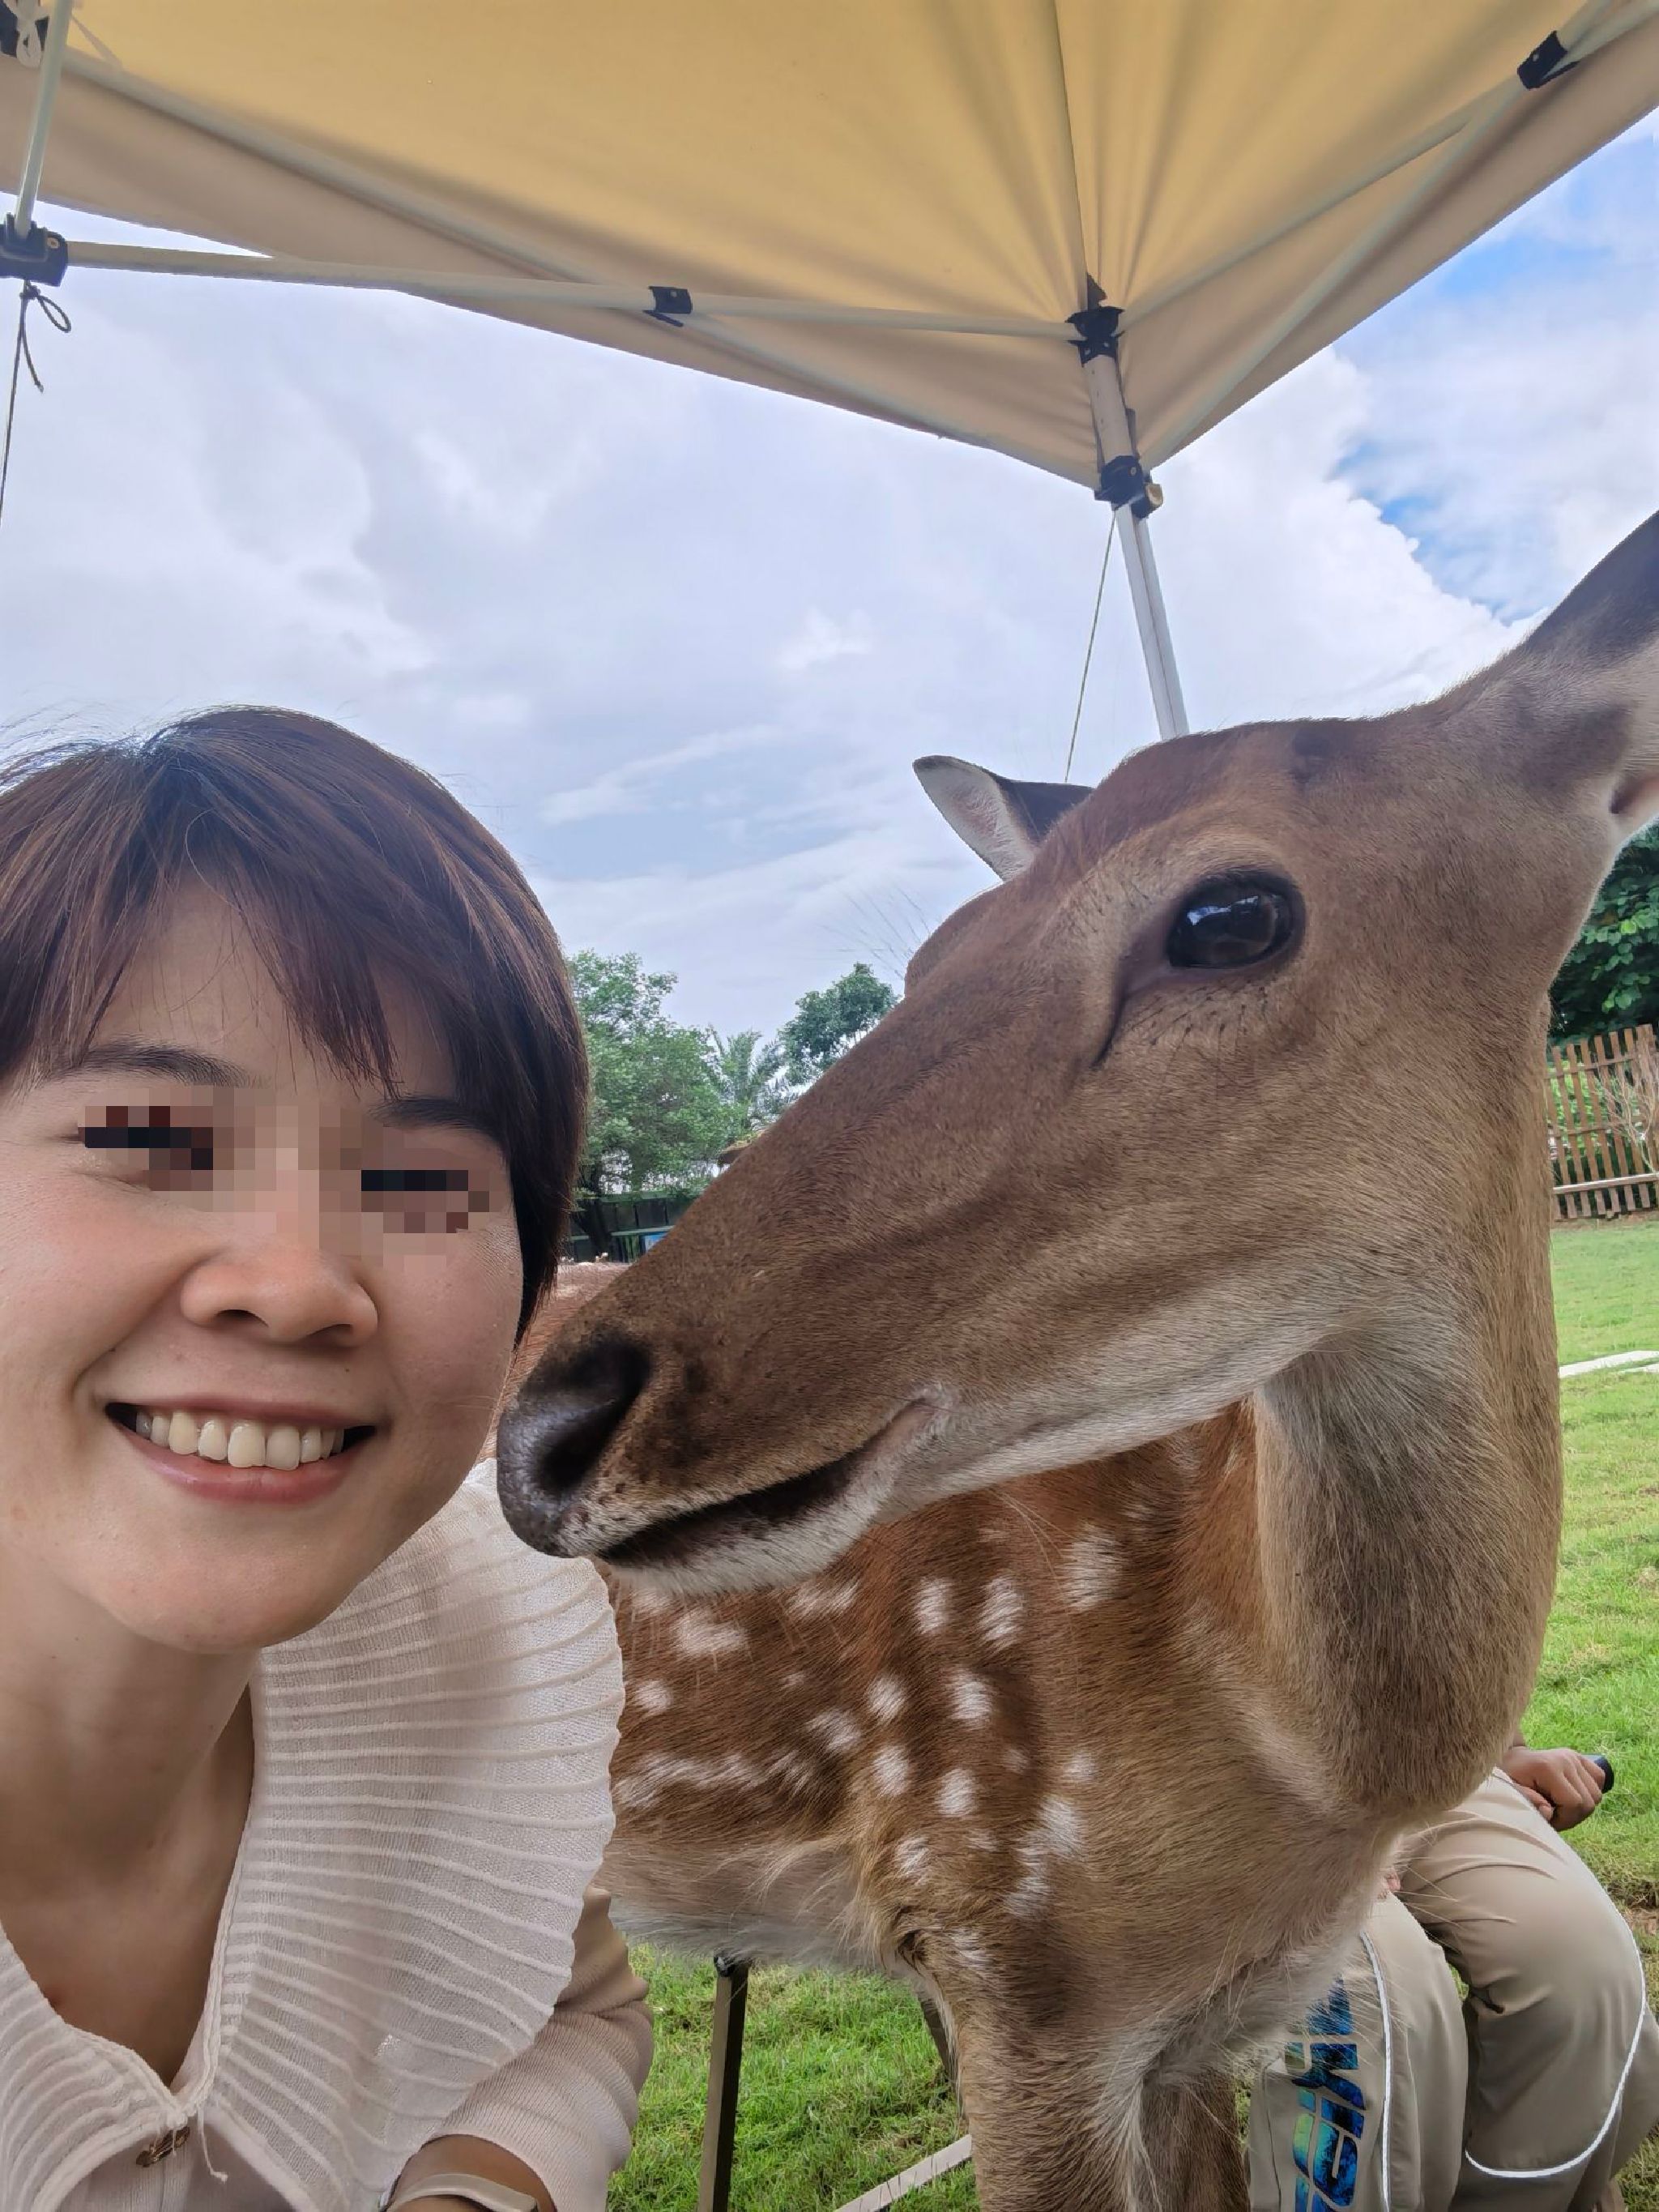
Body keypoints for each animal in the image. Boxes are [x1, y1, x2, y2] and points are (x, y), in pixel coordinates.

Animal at [498, 512, 1659, 2211]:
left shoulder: (1205, 2023)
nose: (546, 1434)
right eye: (930, 953)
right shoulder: (1003, 1946)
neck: (1293, 1745)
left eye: (1228, 915)